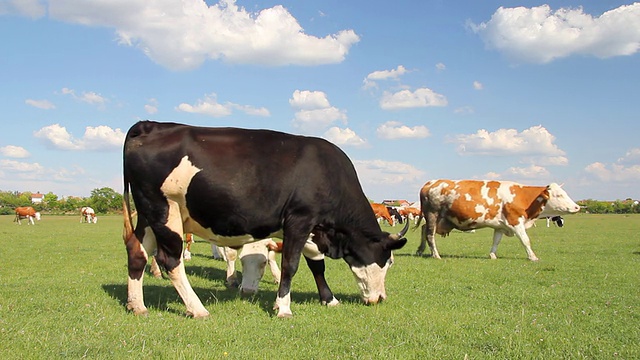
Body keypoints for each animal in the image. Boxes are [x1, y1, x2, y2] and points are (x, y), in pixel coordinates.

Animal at [122, 121, 408, 318]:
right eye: (388, 262)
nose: (380, 298)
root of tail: (149, 125)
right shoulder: (299, 219)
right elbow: (291, 265)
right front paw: (283, 308)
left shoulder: (312, 229)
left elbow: (317, 265)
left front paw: (329, 299)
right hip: (165, 210)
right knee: (170, 260)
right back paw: (197, 308)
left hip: (149, 213)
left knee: (137, 252)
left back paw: (137, 306)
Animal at [418, 180, 584, 262]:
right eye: (559, 195)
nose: (577, 207)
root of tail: (431, 183)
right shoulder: (516, 222)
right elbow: (525, 240)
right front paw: (533, 257)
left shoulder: (500, 226)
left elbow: (496, 241)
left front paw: (492, 255)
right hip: (432, 215)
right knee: (430, 235)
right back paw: (436, 255)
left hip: (439, 219)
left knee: (424, 229)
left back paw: (421, 250)